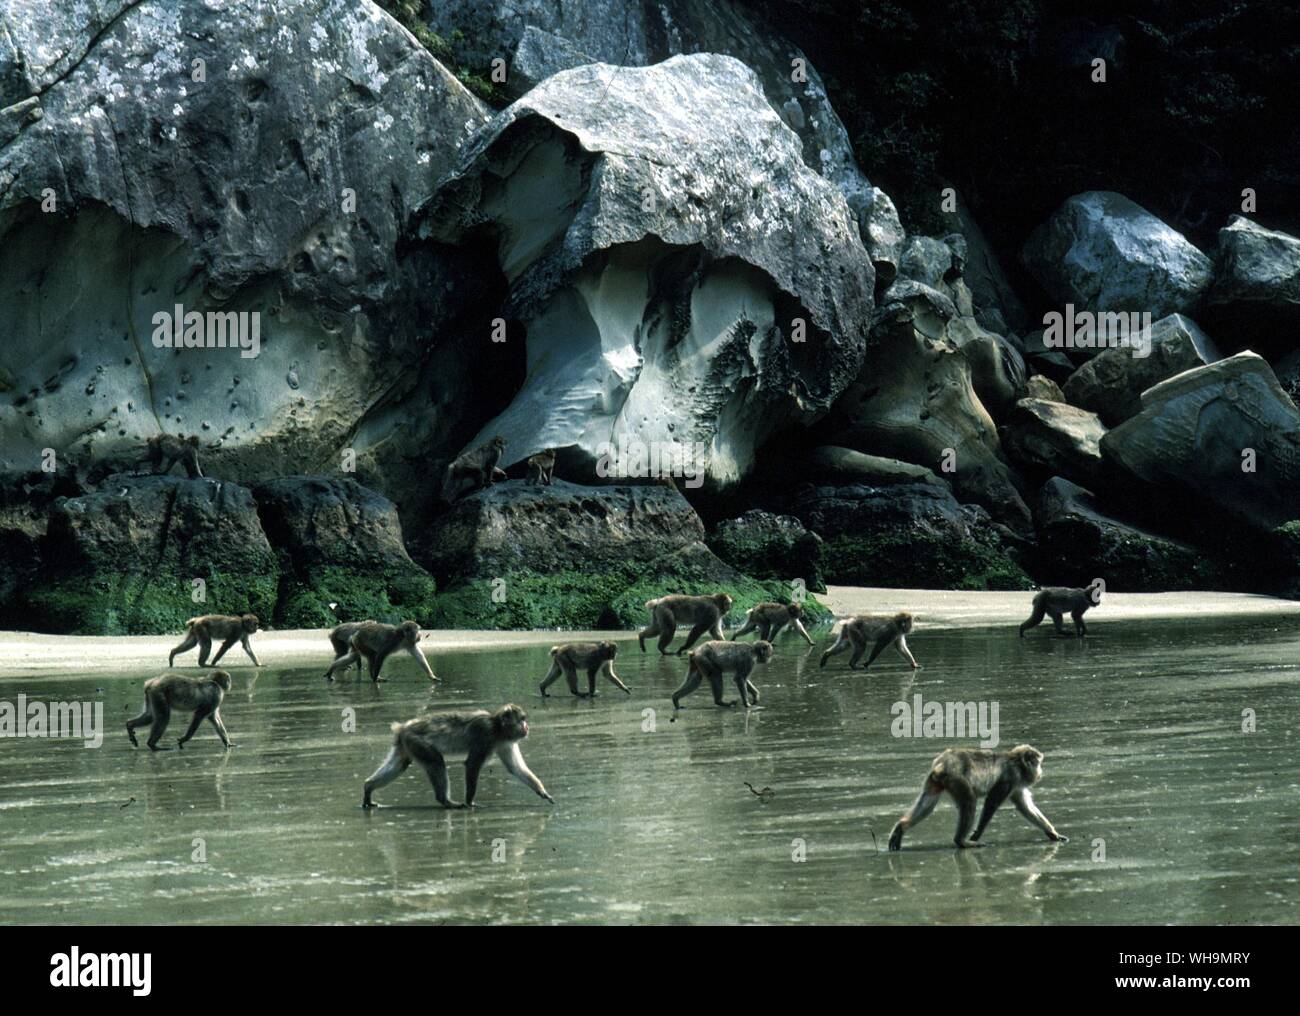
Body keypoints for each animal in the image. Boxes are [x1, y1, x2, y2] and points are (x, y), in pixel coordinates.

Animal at [361, 706, 553, 810]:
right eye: (521, 720)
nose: (526, 727)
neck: (497, 727)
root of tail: (403, 728)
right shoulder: (486, 735)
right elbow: (472, 764)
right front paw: (470, 801)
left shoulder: (504, 742)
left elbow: (515, 768)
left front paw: (541, 790)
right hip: (417, 742)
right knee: (436, 762)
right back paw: (445, 801)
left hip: (406, 744)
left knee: (401, 764)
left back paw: (368, 787)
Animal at [894, 748, 1066, 852]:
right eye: (1038, 763)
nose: (1040, 771)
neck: (1016, 762)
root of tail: (942, 763)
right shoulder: (1011, 777)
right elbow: (992, 802)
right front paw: (977, 834)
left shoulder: (1016, 782)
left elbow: (1024, 805)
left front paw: (1052, 832)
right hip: (955, 778)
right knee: (969, 801)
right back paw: (961, 841)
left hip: (935, 780)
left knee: (928, 801)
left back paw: (901, 827)